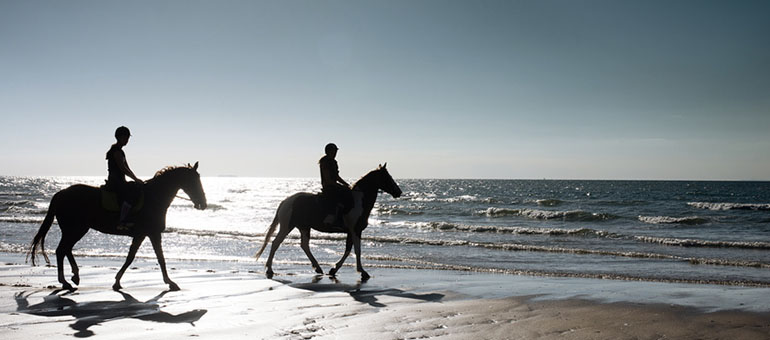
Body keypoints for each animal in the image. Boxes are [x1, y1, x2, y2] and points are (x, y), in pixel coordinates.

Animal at [28, 163, 206, 290]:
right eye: (194, 181)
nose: (203, 204)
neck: (154, 198)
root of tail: (61, 193)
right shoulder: (152, 233)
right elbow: (159, 258)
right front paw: (170, 282)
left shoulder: (142, 235)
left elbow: (131, 257)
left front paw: (117, 281)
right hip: (75, 229)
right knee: (61, 250)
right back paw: (65, 281)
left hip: (77, 229)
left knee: (66, 249)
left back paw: (75, 277)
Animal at [256, 164, 402, 278]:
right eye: (387, 177)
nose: (399, 192)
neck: (358, 200)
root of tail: (286, 201)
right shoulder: (355, 230)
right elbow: (356, 250)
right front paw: (362, 271)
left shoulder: (352, 231)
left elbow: (349, 250)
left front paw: (334, 269)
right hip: (287, 226)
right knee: (276, 243)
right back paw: (269, 269)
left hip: (304, 227)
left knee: (304, 245)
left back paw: (317, 267)